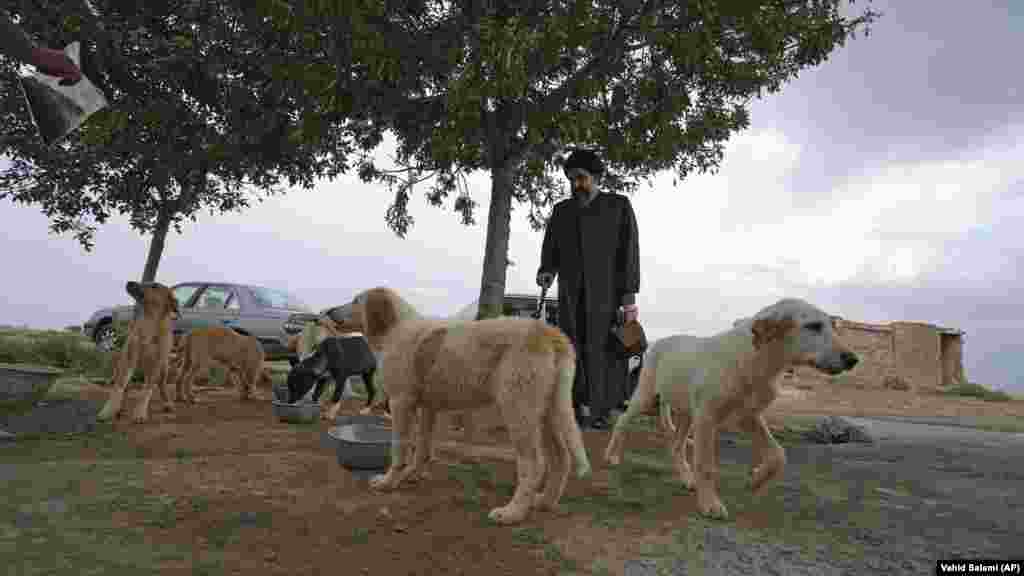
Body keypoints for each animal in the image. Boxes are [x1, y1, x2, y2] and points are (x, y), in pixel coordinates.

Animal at [96, 280, 180, 422]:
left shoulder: (156, 363)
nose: (129, 282)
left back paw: (167, 403)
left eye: (155, 286)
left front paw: (140, 412)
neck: (149, 323)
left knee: (161, 385)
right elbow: (119, 386)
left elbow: (146, 390)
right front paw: (109, 410)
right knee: (123, 383)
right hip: (124, 362)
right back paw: (119, 407)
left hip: (164, 368)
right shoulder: (129, 357)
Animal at [337, 284, 593, 522]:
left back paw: (513, 512)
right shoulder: (428, 407)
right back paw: (544, 502)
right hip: (547, 411)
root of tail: (548, 332)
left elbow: (399, 448)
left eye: (356, 301)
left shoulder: (401, 402)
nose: (328, 312)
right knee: (561, 458)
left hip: (518, 409)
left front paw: (388, 482)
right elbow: (422, 446)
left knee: (534, 463)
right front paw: (413, 475)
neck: (397, 329)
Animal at [602, 297, 860, 518]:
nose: (852, 359)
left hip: (687, 413)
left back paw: (687, 479)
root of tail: (660, 341)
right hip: (645, 397)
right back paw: (611, 456)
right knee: (623, 421)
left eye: (832, 326)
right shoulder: (708, 417)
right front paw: (710, 504)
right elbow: (706, 465)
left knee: (676, 446)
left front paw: (755, 480)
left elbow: (778, 455)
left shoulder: (748, 416)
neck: (757, 363)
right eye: (813, 326)